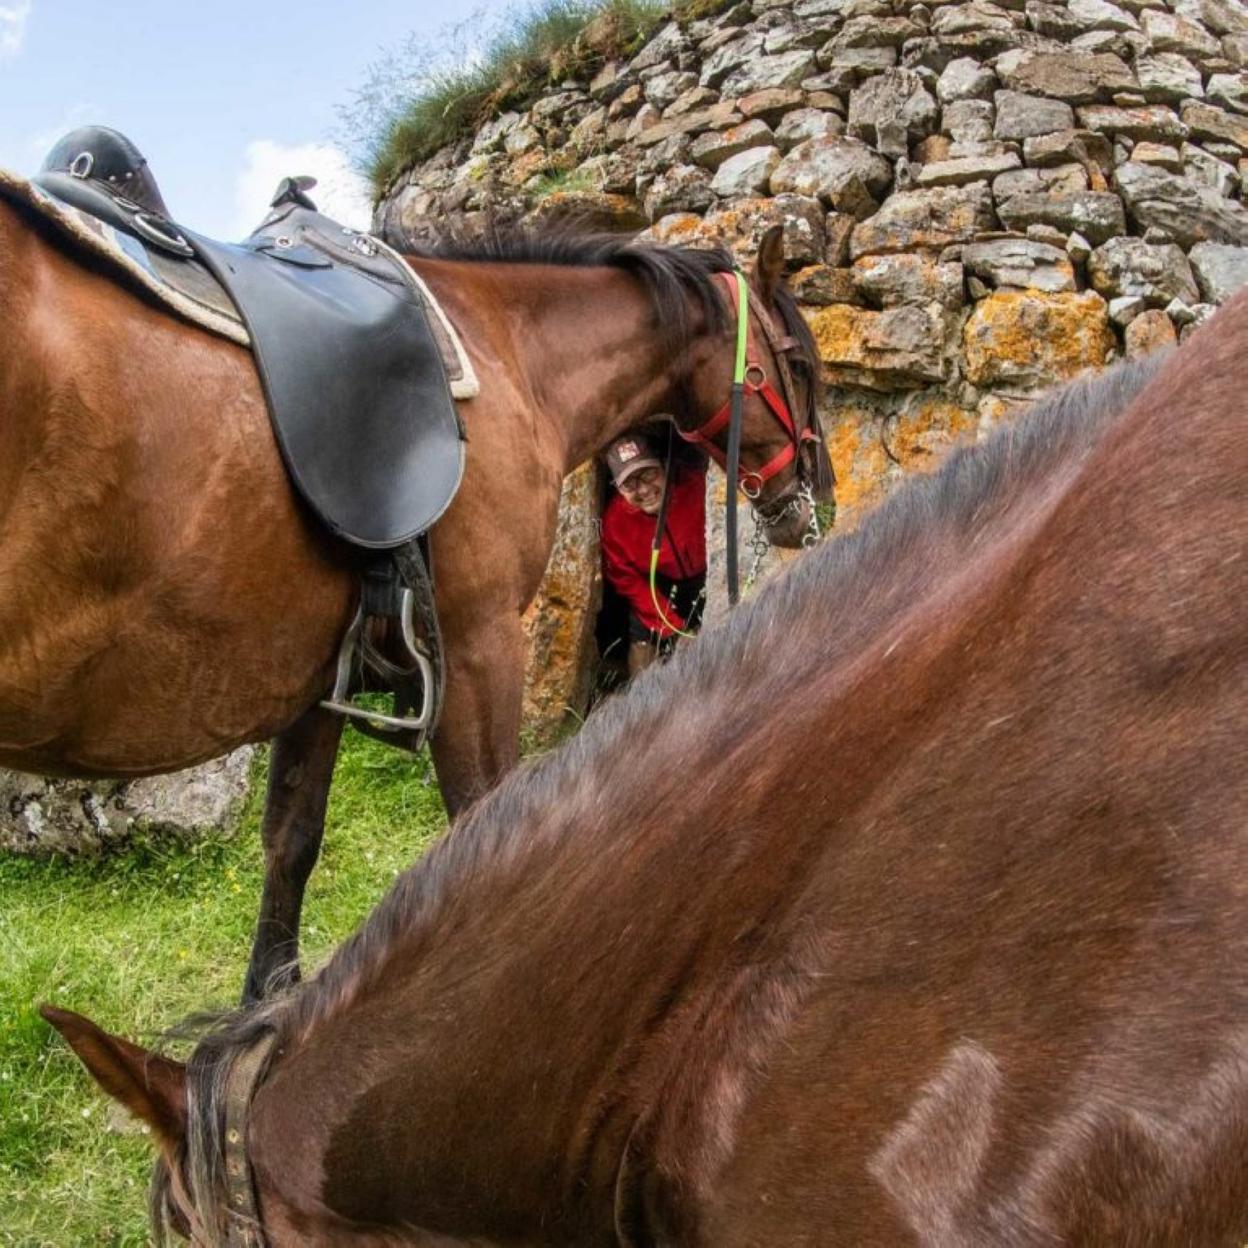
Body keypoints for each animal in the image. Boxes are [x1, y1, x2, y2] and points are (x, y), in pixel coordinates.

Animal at [0, 199, 831, 1000]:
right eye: (800, 363)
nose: (812, 497)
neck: (508, 359)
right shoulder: (478, 644)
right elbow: (484, 827)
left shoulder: (317, 682)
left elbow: (291, 840)